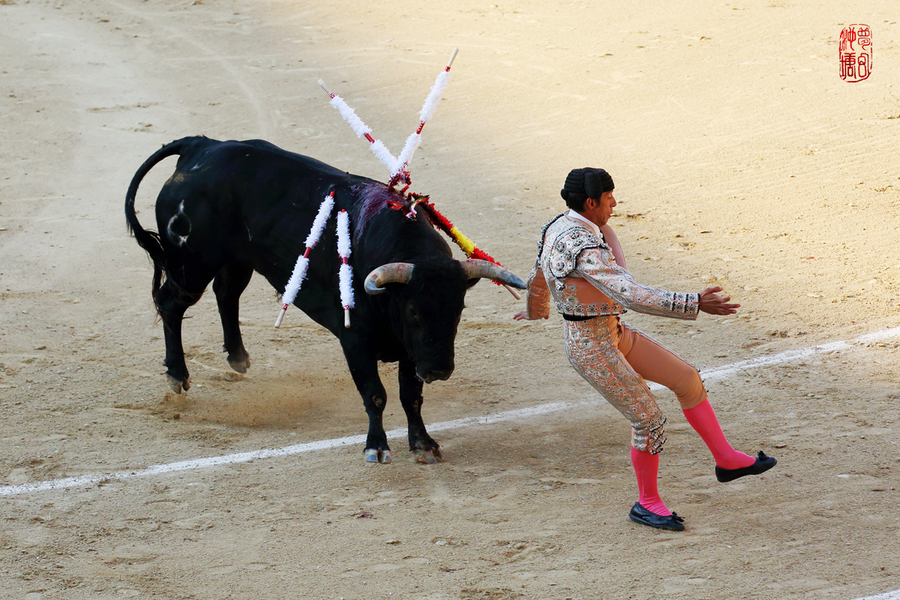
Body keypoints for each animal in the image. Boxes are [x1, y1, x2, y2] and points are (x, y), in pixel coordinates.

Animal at [123, 137, 524, 464]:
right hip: (192, 264)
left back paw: (238, 357)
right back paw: (177, 375)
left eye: (458, 311)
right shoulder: (357, 342)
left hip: (236, 259)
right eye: (413, 311)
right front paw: (376, 447)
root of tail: (201, 147)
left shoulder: (410, 350)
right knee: (172, 303)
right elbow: (375, 394)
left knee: (227, 292)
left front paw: (424, 445)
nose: (439, 370)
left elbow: (410, 396)